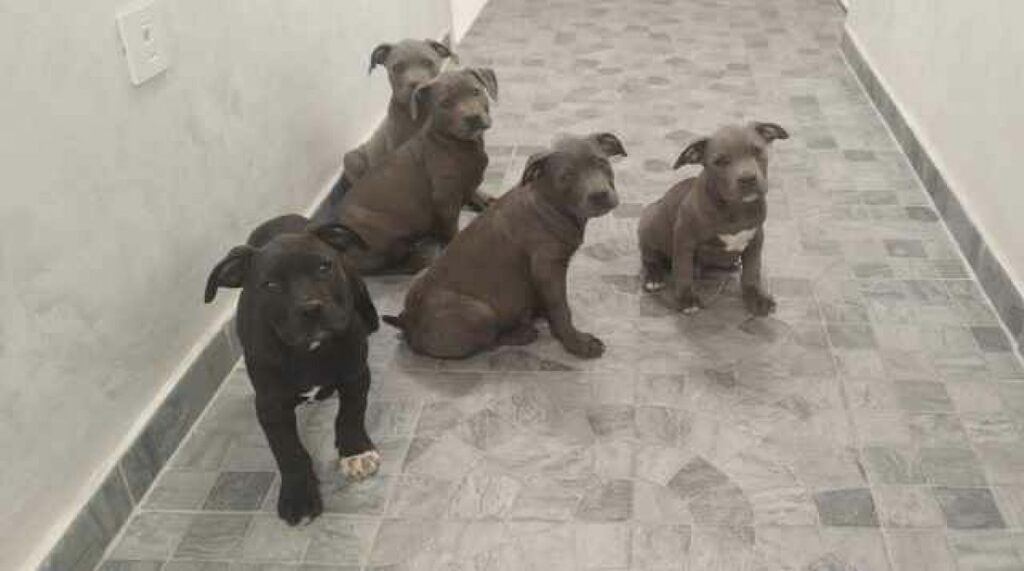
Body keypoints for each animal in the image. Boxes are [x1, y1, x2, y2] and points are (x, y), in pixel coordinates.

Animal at [204, 214, 380, 525]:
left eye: (324, 267)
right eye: (271, 284)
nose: (311, 308)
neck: (310, 349)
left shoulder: (356, 375)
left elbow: (351, 414)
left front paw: (355, 451)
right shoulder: (270, 406)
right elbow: (287, 450)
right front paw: (298, 495)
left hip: (358, 287)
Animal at [336, 67, 499, 275]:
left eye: (476, 91)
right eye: (445, 103)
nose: (472, 118)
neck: (455, 143)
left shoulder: (466, 183)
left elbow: (473, 192)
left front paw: (485, 200)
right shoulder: (446, 199)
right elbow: (452, 229)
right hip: (386, 231)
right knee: (393, 263)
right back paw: (422, 258)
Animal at [382, 133, 627, 359]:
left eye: (602, 163)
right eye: (566, 176)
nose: (600, 195)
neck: (549, 203)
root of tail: (406, 321)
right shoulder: (548, 266)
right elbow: (561, 308)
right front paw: (577, 342)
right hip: (479, 312)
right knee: (488, 342)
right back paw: (521, 333)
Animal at [637, 122, 789, 315]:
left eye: (757, 151)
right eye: (720, 162)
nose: (748, 178)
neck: (736, 208)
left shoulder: (756, 238)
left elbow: (752, 271)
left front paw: (756, 297)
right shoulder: (684, 239)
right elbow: (683, 270)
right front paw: (687, 299)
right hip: (649, 223)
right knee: (650, 256)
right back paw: (654, 277)